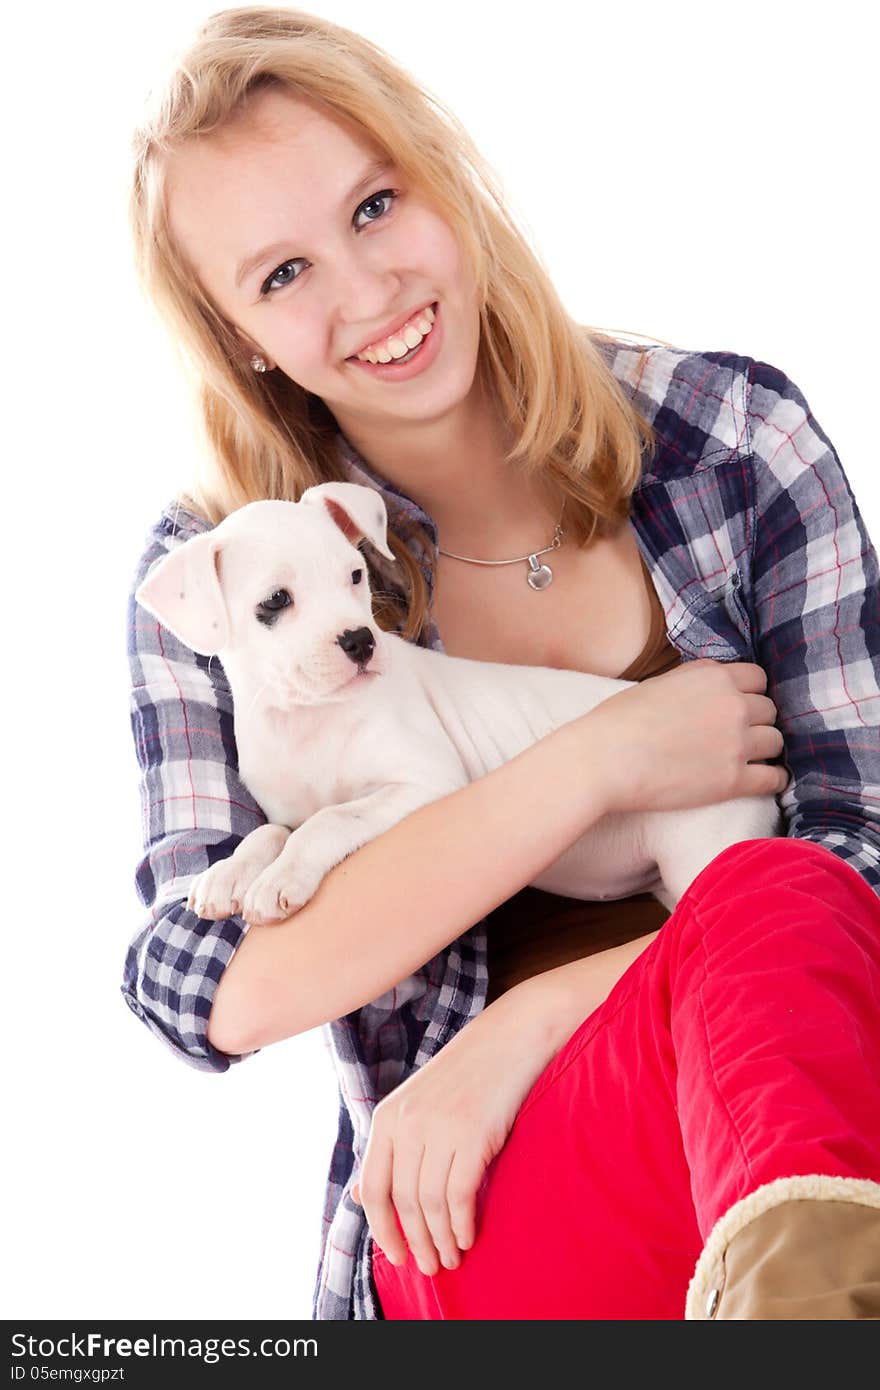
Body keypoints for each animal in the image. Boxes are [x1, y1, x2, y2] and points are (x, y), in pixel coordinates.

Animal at [137, 483, 784, 928]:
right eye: (275, 602)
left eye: (355, 576)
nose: (360, 641)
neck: (309, 719)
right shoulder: (287, 808)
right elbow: (271, 831)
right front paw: (226, 873)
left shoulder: (423, 786)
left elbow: (330, 820)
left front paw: (281, 879)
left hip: (705, 851)